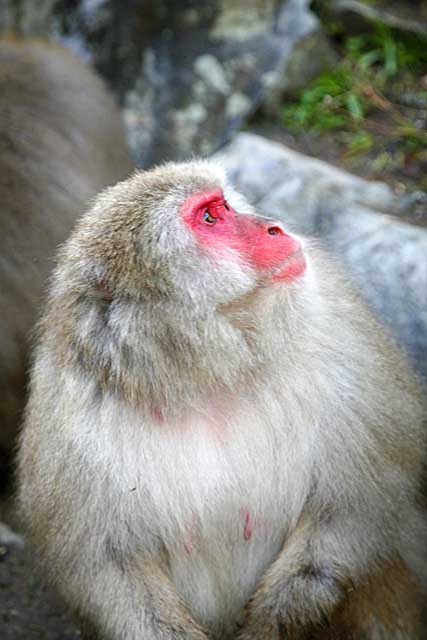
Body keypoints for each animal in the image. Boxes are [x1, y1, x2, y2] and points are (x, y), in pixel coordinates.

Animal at [17, 161, 427, 640]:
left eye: (225, 204)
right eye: (209, 218)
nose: (274, 227)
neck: (204, 376)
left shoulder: (347, 344)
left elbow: (355, 508)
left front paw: (272, 622)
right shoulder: (68, 425)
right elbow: (107, 569)